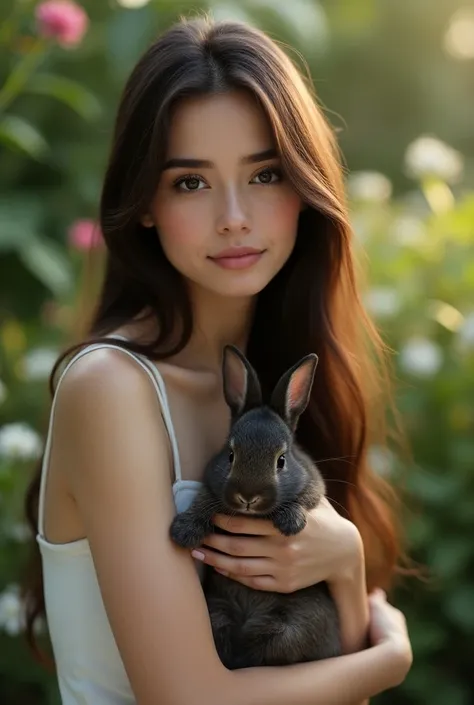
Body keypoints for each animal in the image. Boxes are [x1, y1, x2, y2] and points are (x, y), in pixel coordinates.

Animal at [170, 346, 340, 664]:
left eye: (281, 461)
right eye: (230, 456)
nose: (248, 497)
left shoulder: (312, 486)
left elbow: (303, 498)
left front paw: (291, 522)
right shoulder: (210, 485)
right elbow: (204, 501)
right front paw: (183, 532)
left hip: (290, 630)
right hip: (218, 612)